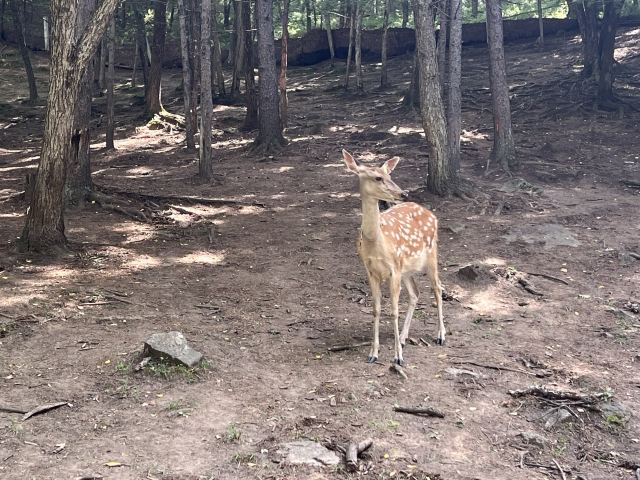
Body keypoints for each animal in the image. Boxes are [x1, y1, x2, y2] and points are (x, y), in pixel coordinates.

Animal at [341, 149, 445, 366]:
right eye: (378, 177)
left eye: (390, 175)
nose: (403, 193)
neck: (376, 243)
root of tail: (431, 214)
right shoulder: (370, 270)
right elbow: (377, 309)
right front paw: (373, 353)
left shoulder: (393, 269)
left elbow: (394, 310)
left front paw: (398, 357)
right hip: (406, 268)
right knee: (415, 293)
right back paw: (404, 337)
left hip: (431, 254)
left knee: (438, 288)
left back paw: (441, 335)